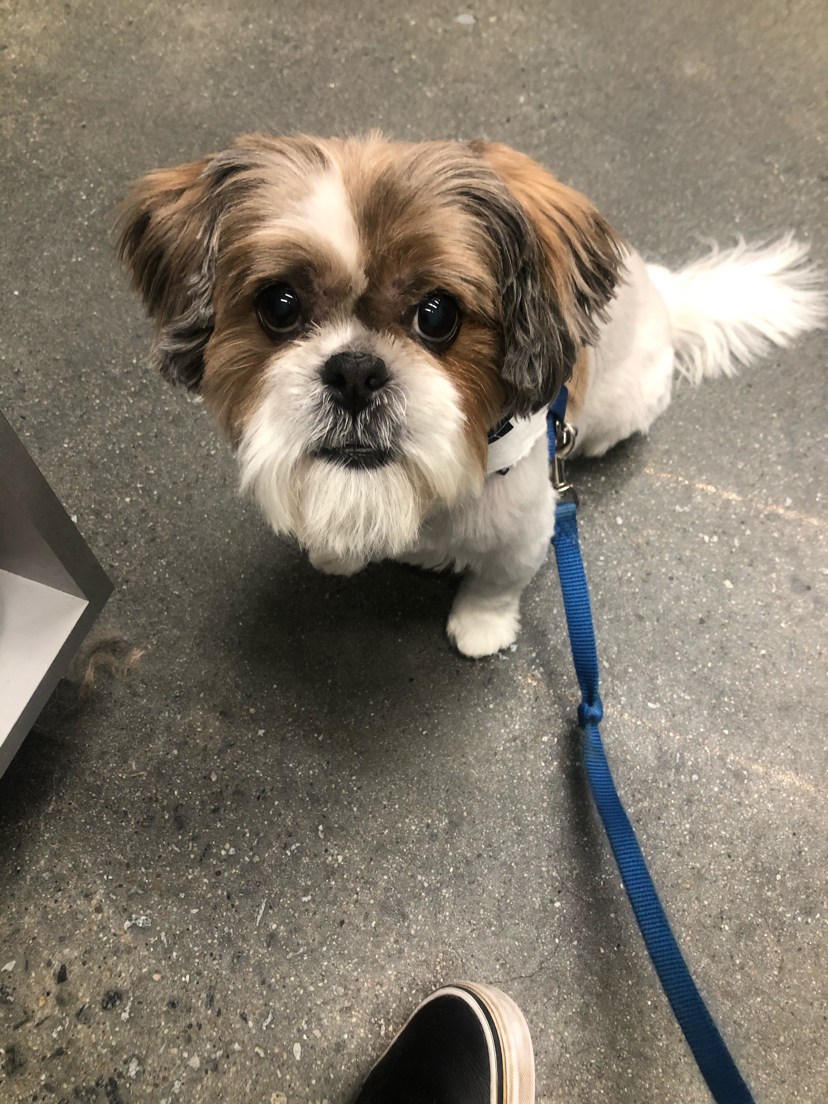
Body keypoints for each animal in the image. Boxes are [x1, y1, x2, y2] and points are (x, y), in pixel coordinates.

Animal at [116, 135, 824, 657]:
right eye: (280, 305)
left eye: (437, 315)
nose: (354, 371)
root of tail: (661, 292)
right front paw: (335, 550)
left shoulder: (527, 527)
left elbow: (497, 580)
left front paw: (481, 626)